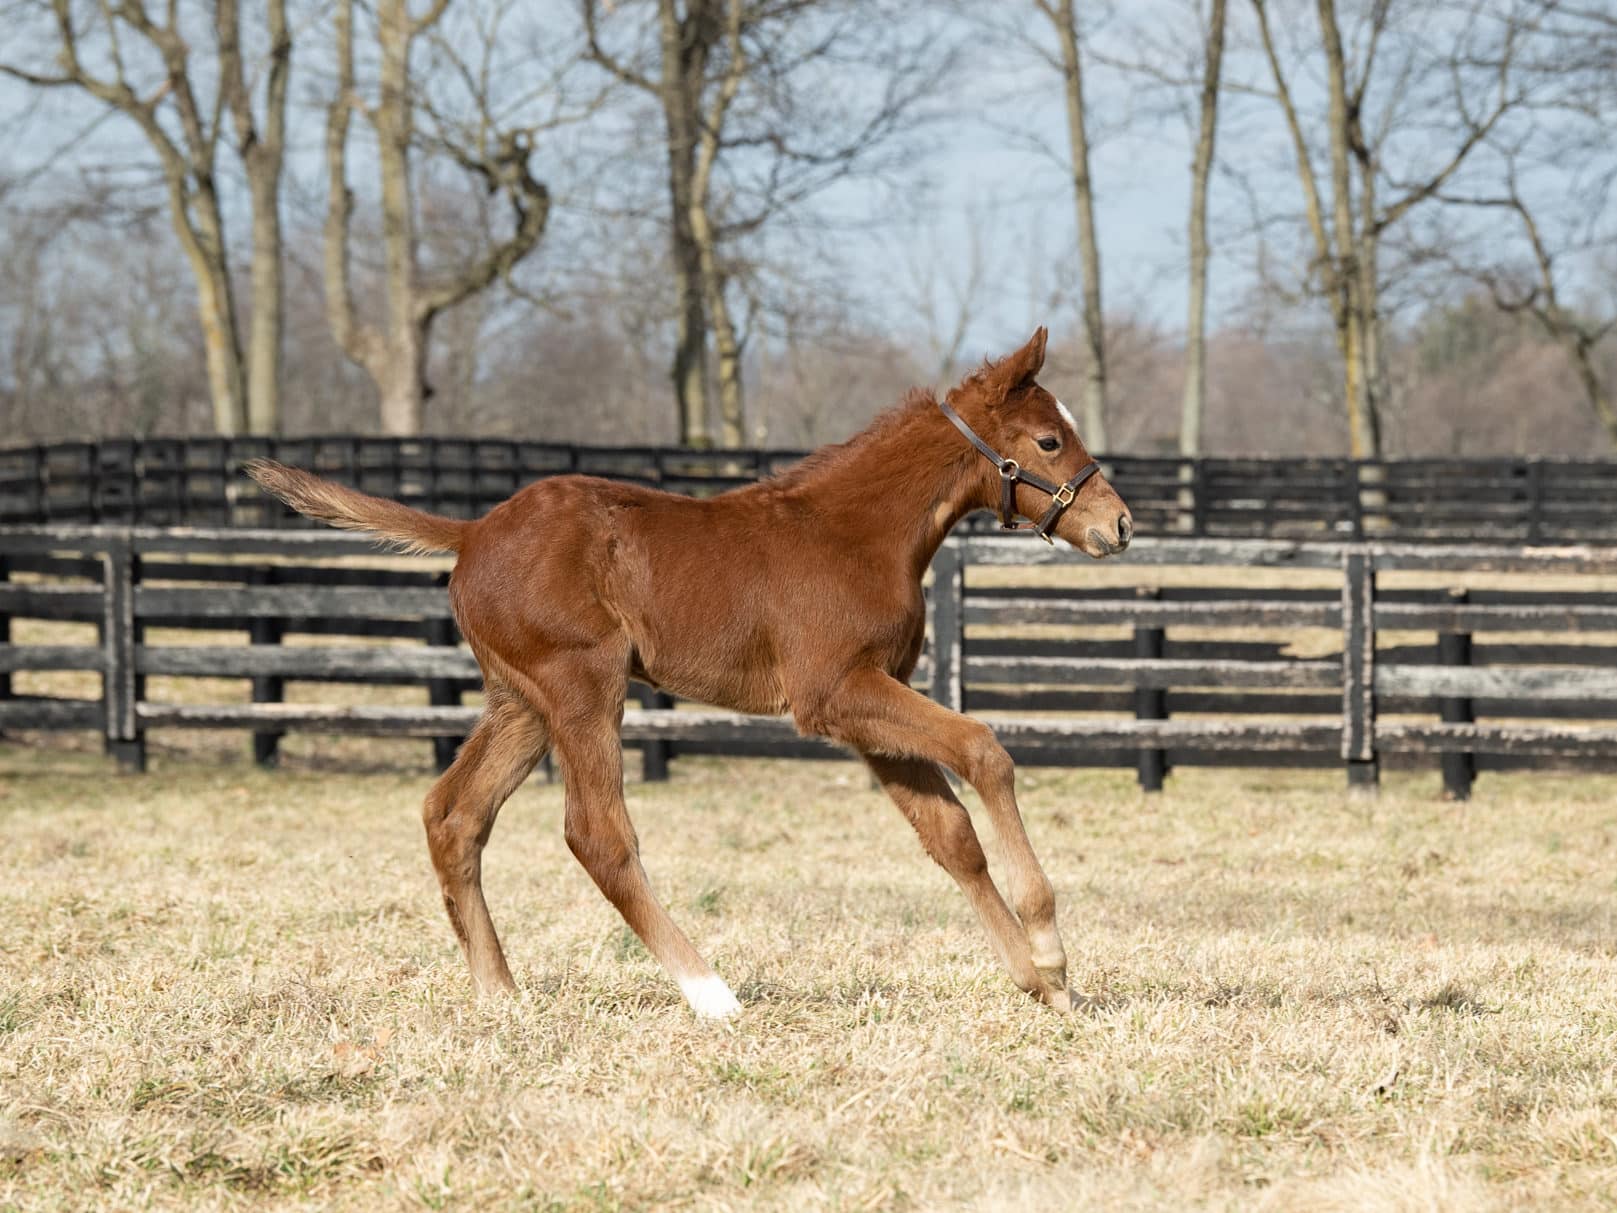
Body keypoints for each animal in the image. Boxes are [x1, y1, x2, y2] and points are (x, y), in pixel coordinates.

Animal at [255, 329, 1138, 1015]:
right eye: (1049, 441)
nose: (1120, 525)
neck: (854, 533)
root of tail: (471, 532)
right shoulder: (834, 693)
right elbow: (984, 748)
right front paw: (1050, 948)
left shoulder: (867, 704)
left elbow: (949, 836)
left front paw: (1043, 985)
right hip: (581, 689)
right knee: (595, 833)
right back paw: (709, 992)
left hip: (521, 704)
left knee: (454, 814)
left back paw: (499, 993)